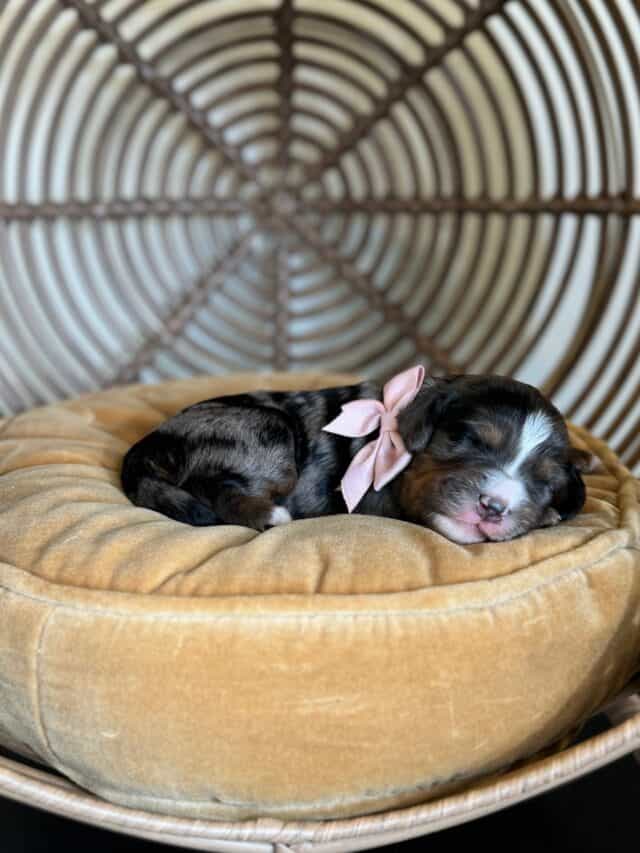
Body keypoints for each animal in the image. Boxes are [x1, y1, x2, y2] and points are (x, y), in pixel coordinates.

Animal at [121, 368, 596, 544]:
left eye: (544, 481)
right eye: (468, 439)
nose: (494, 506)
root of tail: (154, 439)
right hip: (266, 432)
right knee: (216, 488)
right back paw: (268, 514)